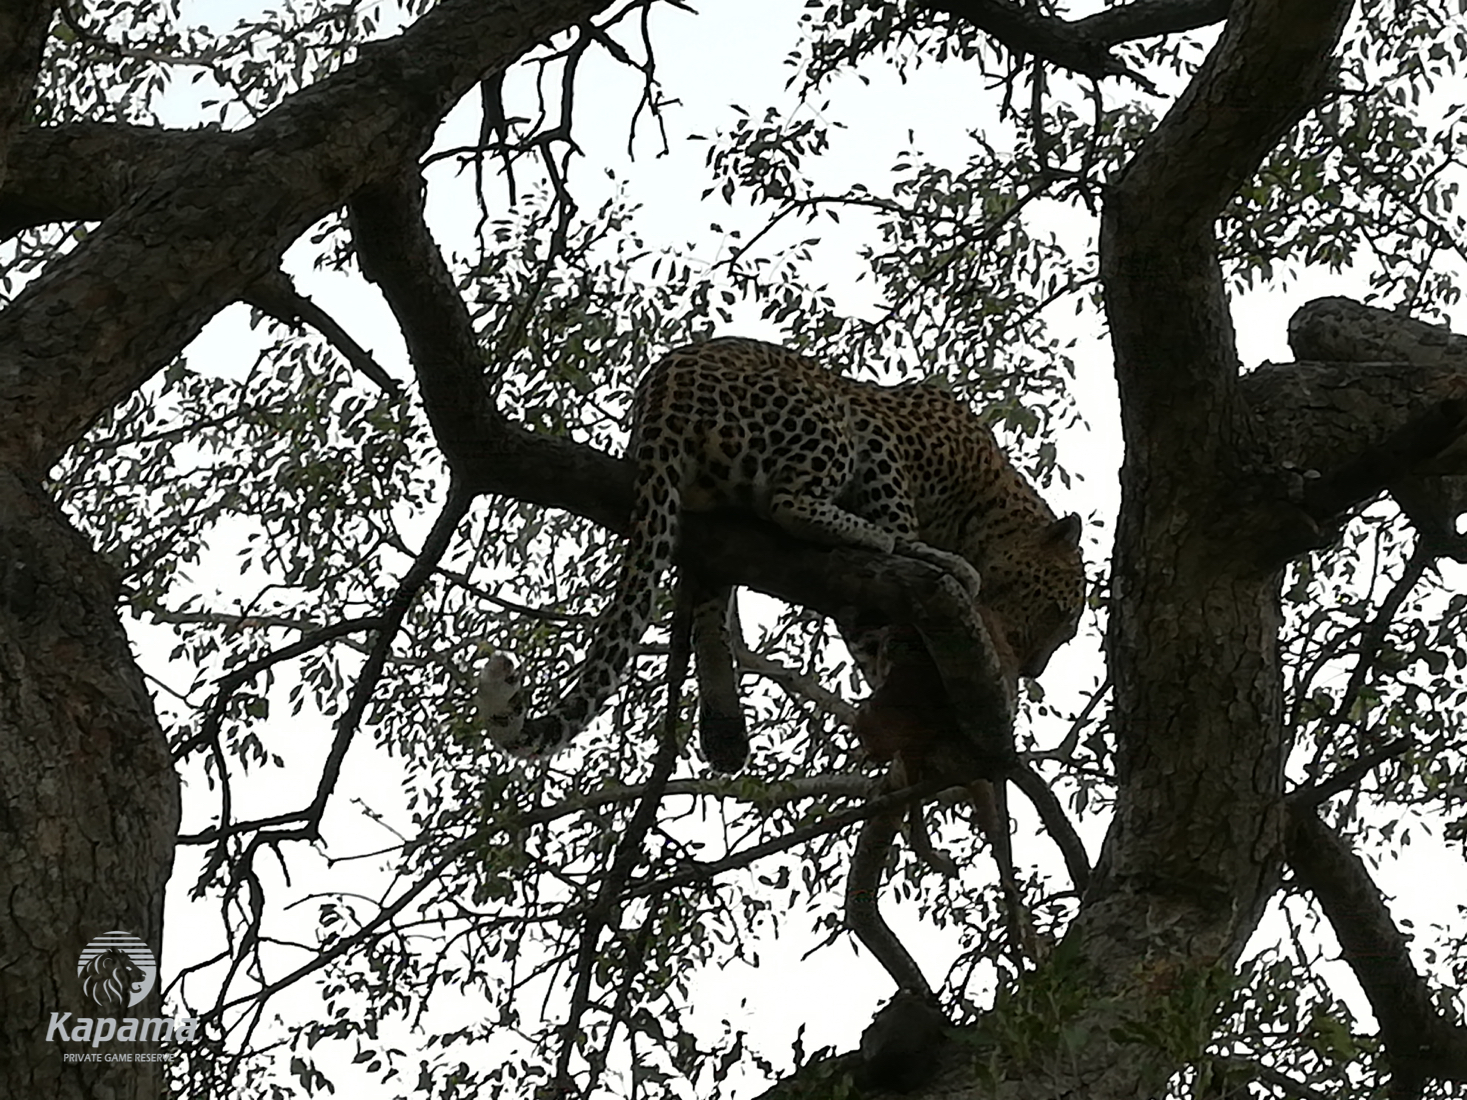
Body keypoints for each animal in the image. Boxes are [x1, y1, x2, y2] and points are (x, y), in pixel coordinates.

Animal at [477, 336, 1085, 767]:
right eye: (1059, 613)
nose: (1035, 669)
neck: (988, 500)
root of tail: (661, 398)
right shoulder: (884, 437)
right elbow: (896, 511)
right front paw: (922, 552)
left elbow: (871, 637)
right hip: (826, 416)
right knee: (791, 504)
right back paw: (897, 544)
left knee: (712, 596)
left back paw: (724, 729)